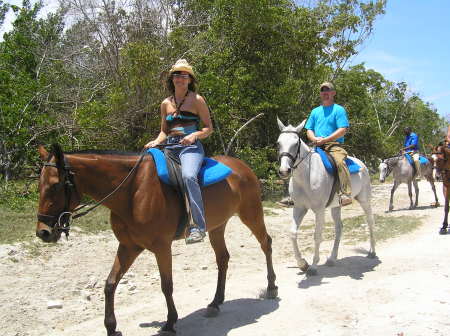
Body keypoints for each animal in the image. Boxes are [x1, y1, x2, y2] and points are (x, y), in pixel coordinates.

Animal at [34, 143, 278, 334]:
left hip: (251, 214)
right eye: (39, 185)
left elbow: (166, 285)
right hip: (217, 227)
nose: (42, 232)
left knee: (266, 243)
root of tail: (242, 167)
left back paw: (271, 286)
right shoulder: (128, 246)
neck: (131, 192)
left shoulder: (162, 247)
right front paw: (111, 327)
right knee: (223, 259)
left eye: (55, 185)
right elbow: (110, 284)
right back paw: (215, 302)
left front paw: (170, 323)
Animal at [278, 118, 376, 276]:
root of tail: (362, 164)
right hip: (336, 206)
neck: (307, 176)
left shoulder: (319, 210)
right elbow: (292, 233)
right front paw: (302, 264)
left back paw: (372, 251)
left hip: (365, 200)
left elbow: (317, 235)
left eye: (295, 143)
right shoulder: (299, 208)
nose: (284, 171)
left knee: (370, 222)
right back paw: (332, 258)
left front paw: (313, 266)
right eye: (278, 143)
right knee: (339, 228)